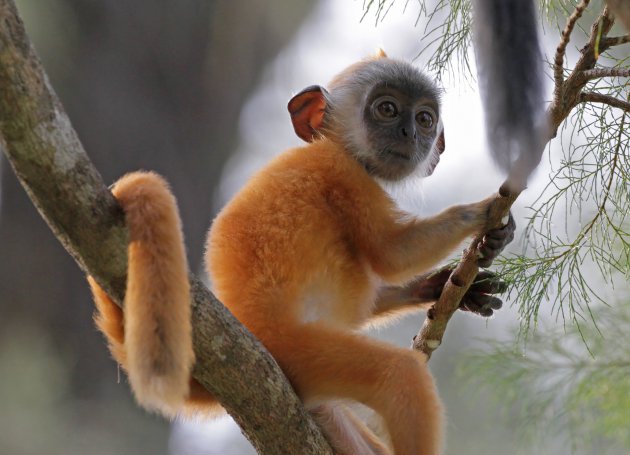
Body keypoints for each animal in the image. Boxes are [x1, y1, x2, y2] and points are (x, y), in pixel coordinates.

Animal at [90, 50, 512, 455]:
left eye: (424, 119)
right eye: (388, 109)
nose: (410, 132)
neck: (338, 149)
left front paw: (451, 282)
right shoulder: (342, 172)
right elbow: (392, 255)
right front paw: (487, 209)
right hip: (301, 353)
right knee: (399, 374)